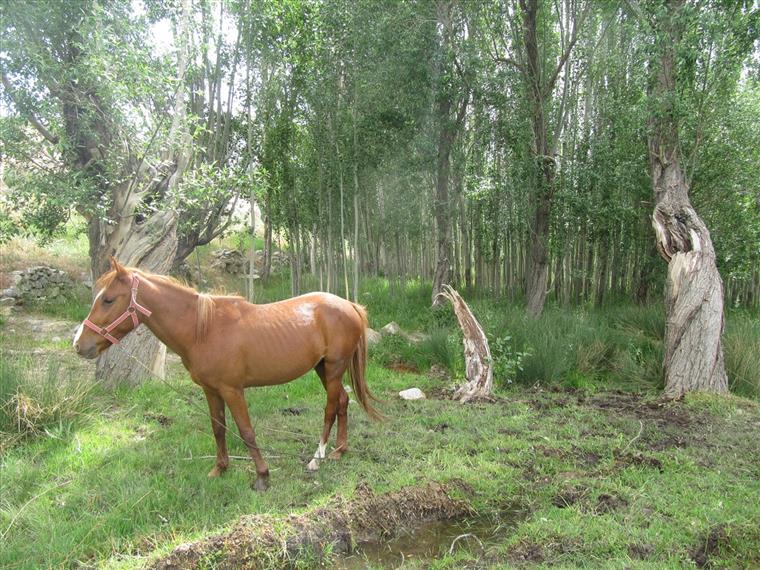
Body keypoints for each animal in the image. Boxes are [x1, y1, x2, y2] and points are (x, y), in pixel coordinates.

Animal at [72, 258, 380, 488]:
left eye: (108, 300)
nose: (79, 344)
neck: (203, 329)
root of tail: (349, 305)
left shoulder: (233, 391)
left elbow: (246, 431)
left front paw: (262, 476)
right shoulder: (211, 390)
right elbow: (218, 428)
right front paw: (220, 469)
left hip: (334, 369)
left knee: (330, 408)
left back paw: (318, 457)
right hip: (323, 368)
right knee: (343, 402)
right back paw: (340, 451)